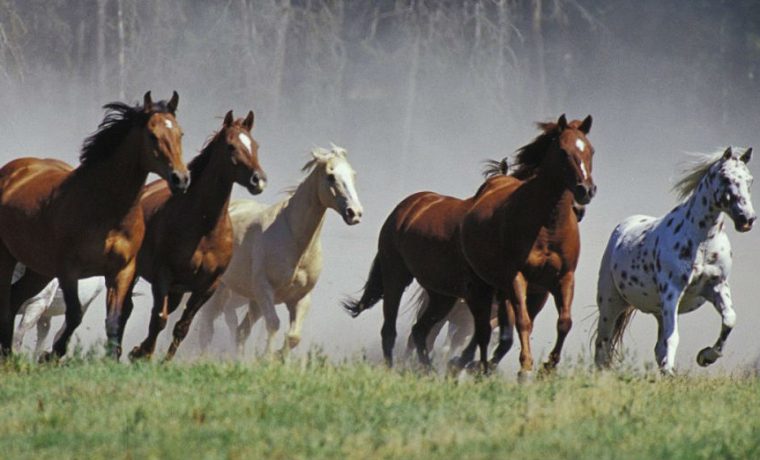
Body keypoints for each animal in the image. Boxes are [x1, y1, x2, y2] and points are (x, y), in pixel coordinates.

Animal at [0, 90, 189, 360]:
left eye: (180, 134)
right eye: (152, 135)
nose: (181, 179)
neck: (106, 210)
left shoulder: (122, 270)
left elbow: (114, 320)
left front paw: (111, 359)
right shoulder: (69, 270)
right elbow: (75, 315)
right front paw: (51, 356)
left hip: (39, 270)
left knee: (15, 299)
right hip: (8, 257)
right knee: (7, 304)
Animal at [123, 109, 266, 362]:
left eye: (255, 145)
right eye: (231, 146)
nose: (257, 180)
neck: (204, 230)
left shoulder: (207, 286)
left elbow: (182, 326)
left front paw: (162, 360)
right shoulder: (163, 276)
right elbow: (159, 319)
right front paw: (144, 354)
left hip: (178, 290)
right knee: (127, 308)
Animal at [196, 146, 362, 354]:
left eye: (353, 175)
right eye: (330, 176)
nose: (354, 213)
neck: (296, 243)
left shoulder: (300, 298)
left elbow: (293, 337)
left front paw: (277, 356)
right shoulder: (265, 290)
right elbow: (274, 324)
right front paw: (267, 357)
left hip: (251, 300)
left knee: (240, 331)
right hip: (220, 291)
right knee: (207, 328)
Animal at [348, 114, 596, 370]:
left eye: (591, 151)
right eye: (563, 152)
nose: (585, 193)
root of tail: (406, 207)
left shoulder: (551, 284)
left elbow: (557, 323)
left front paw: (543, 367)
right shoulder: (510, 283)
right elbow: (514, 326)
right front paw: (514, 367)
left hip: (442, 295)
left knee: (420, 331)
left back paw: (429, 369)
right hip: (396, 276)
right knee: (391, 330)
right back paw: (394, 368)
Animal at [592, 147, 756, 374]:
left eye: (749, 180)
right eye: (725, 178)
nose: (747, 219)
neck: (702, 242)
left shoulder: (716, 286)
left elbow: (729, 320)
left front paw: (706, 357)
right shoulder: (672, 291)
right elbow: (673, 337)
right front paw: (674, 369)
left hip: (659, 311)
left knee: (655, 346)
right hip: (611, 302)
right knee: (603, 344)